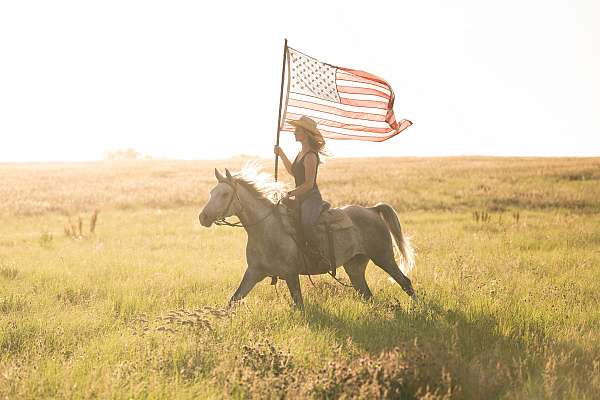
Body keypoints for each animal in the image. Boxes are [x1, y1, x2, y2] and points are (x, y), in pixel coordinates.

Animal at [199, 167, 414, 308]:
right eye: (211, 192)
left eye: (225, 194)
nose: (203, 217)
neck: (266, 229)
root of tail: (371, 210)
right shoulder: (253, 273)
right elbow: (233, 300)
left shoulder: (291, 274)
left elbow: (299, 305)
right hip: (355, 267)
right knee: (367, 295)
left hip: (384, 258)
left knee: (405, 282)